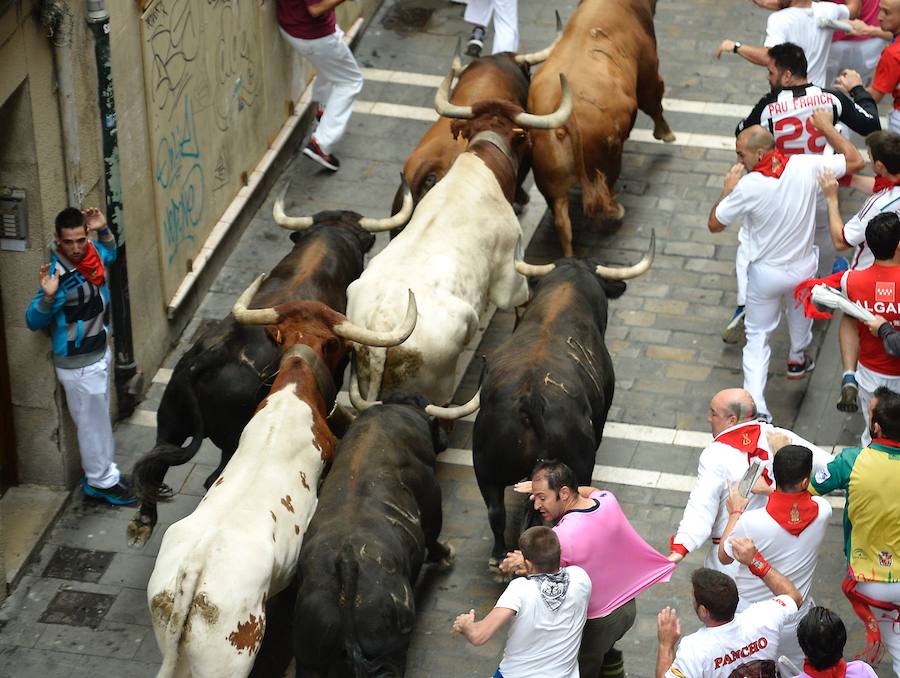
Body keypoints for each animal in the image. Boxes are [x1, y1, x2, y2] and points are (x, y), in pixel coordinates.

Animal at [294, 396, 454, 676]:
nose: (445, 439)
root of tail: (347, 563)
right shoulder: (432, 497)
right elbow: (433, 533)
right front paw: (446, 553)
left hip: (309, 658)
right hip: (390, 654)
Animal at [528, 0, 676, 258]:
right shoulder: (648, 72)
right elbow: (654, 102)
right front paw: (666, 134)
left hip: (549, 183)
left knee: (562, 222)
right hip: (607, 159)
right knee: (605, 192)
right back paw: (617, 211)